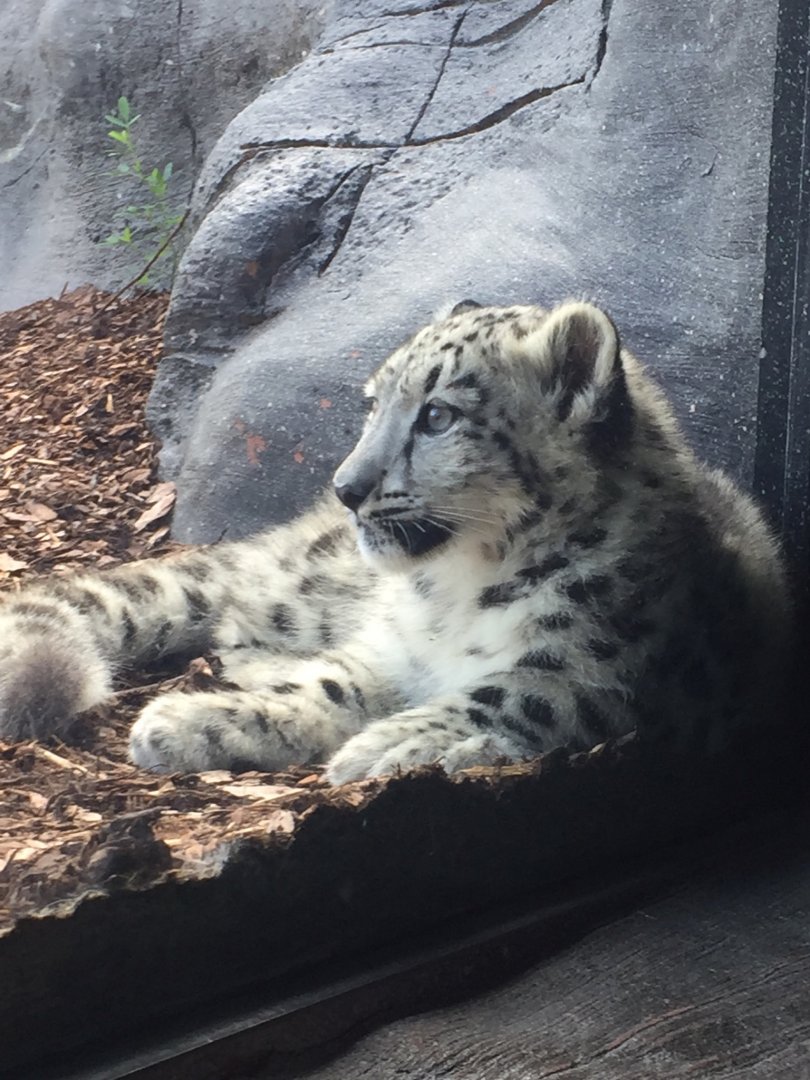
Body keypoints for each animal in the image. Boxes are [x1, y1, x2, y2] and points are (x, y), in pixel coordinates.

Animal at [0, 300, 789, 784]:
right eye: (373, 404)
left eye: (438, 415)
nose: (347, 486)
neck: (458, 593)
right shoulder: (391, 649)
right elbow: (333, 683)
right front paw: (188, 720)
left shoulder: (615, 669)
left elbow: (513, 694)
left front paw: (387, 745)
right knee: (237, 613)